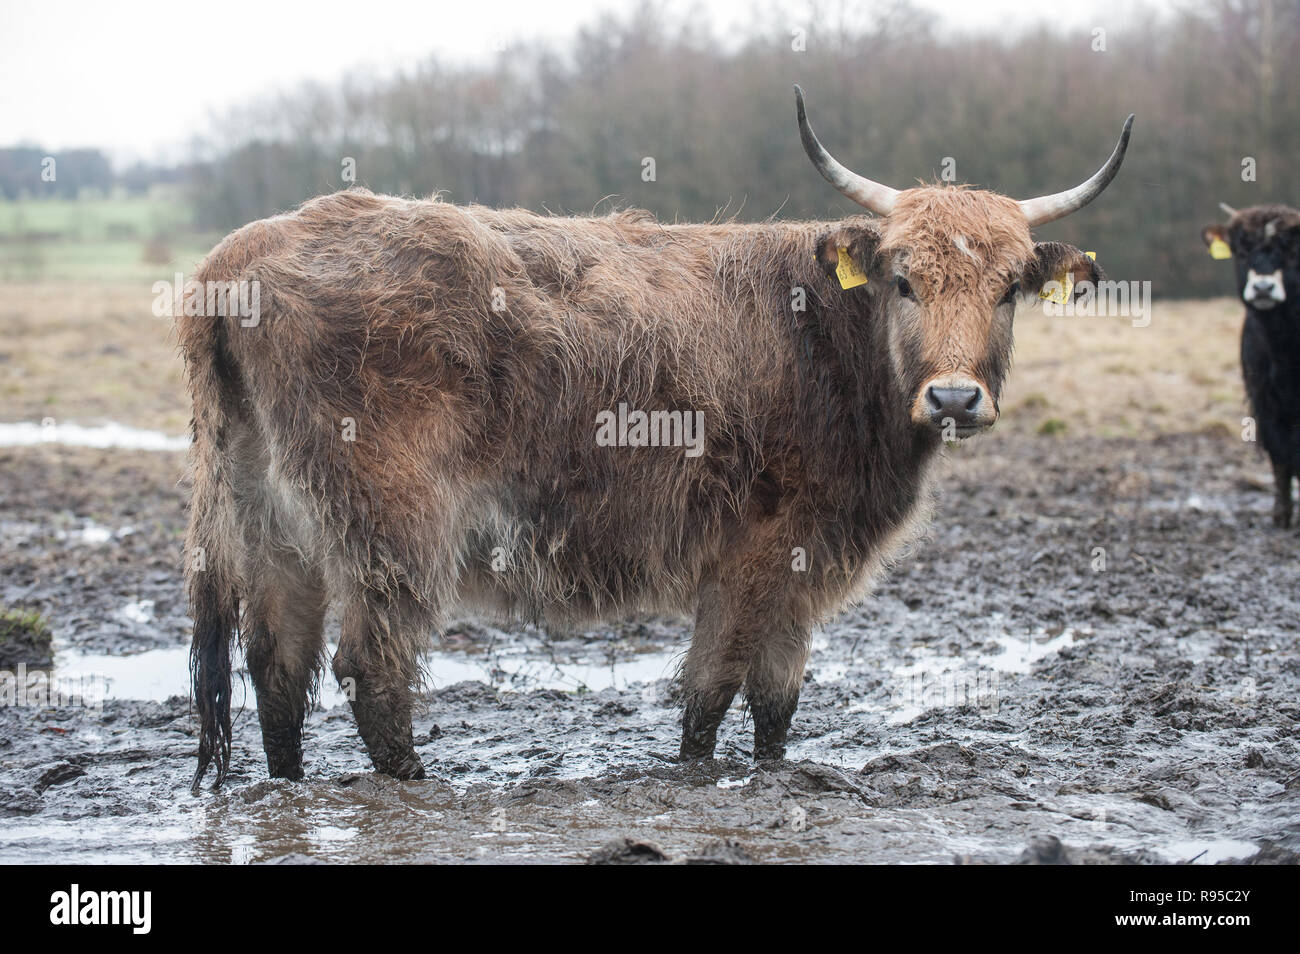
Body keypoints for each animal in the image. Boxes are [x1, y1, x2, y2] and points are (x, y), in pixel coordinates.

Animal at [180, 89, 1128, 790]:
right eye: (904, 280)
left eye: (1009, 288)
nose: (956, 396)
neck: (831, 344)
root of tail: (240, 254)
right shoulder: (756, 554)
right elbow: (711, 692)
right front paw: (698, 778)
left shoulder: (800, 565)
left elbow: (777, 701)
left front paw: (772, 772)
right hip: (394, 523)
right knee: (371, 665)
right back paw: (414, 785)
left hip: (273, 524)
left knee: (277, 668)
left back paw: (292, 788)